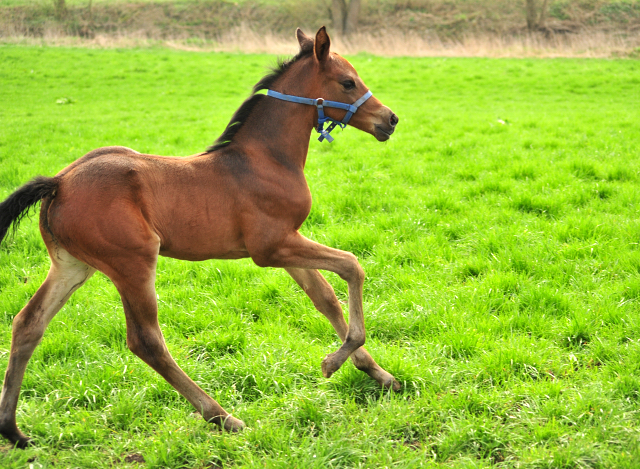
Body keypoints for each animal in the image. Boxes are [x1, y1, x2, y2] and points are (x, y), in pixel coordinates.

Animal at [0, 26, 398, 446]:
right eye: (348, 82)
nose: (390, 119)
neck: (266, 160)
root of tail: (58, 182)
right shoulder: (272, 247)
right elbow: (352, 266)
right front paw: (334, 360)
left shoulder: (288, 245)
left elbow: (325, 299)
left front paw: (379, 374)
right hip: (133, 263)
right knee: (146, 341)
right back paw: (221, 416)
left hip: (72, 266)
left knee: (27, 325)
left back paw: (14, 431)